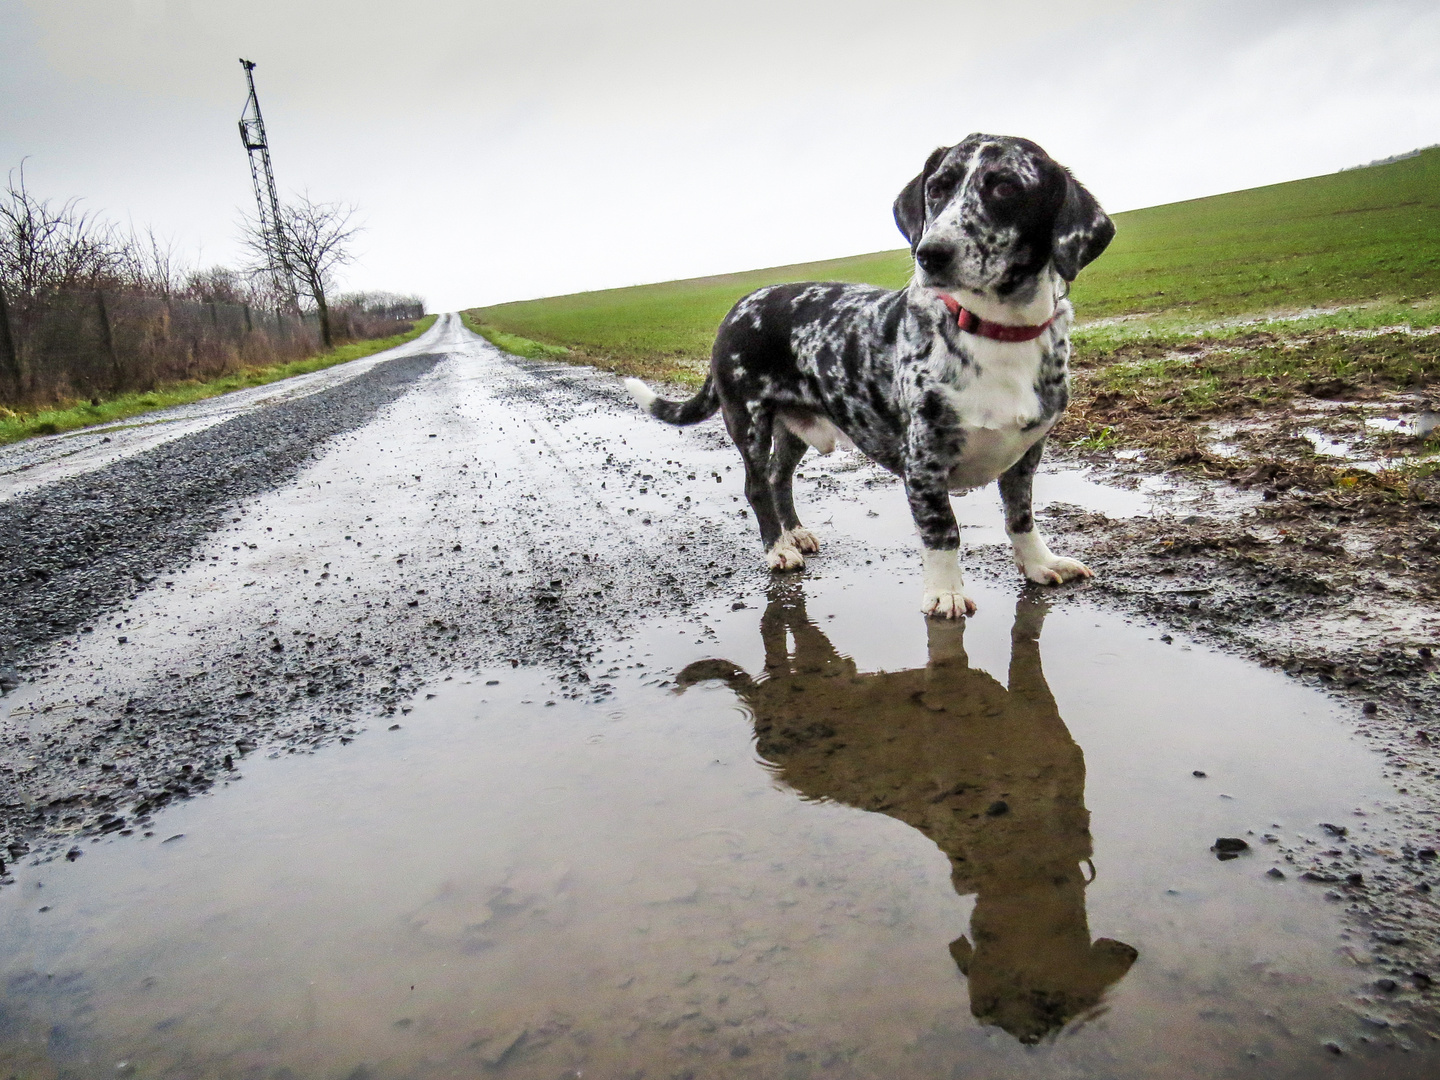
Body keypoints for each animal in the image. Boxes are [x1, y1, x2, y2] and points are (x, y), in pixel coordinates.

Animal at [622, 137, 1111, 616]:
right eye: (938, 188)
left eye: (1006, 187)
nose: (930, 253)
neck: (994, 330)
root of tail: (739, 305)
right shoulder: (923, 463)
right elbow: (943, 531)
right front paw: (945, 591)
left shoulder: (1027, 453)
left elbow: (1021, 515)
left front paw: (1040, 563)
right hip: (750, 420)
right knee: (757, 485)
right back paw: (778, 548)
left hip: (792, 427)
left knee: (780, 478)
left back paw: (794, 531)